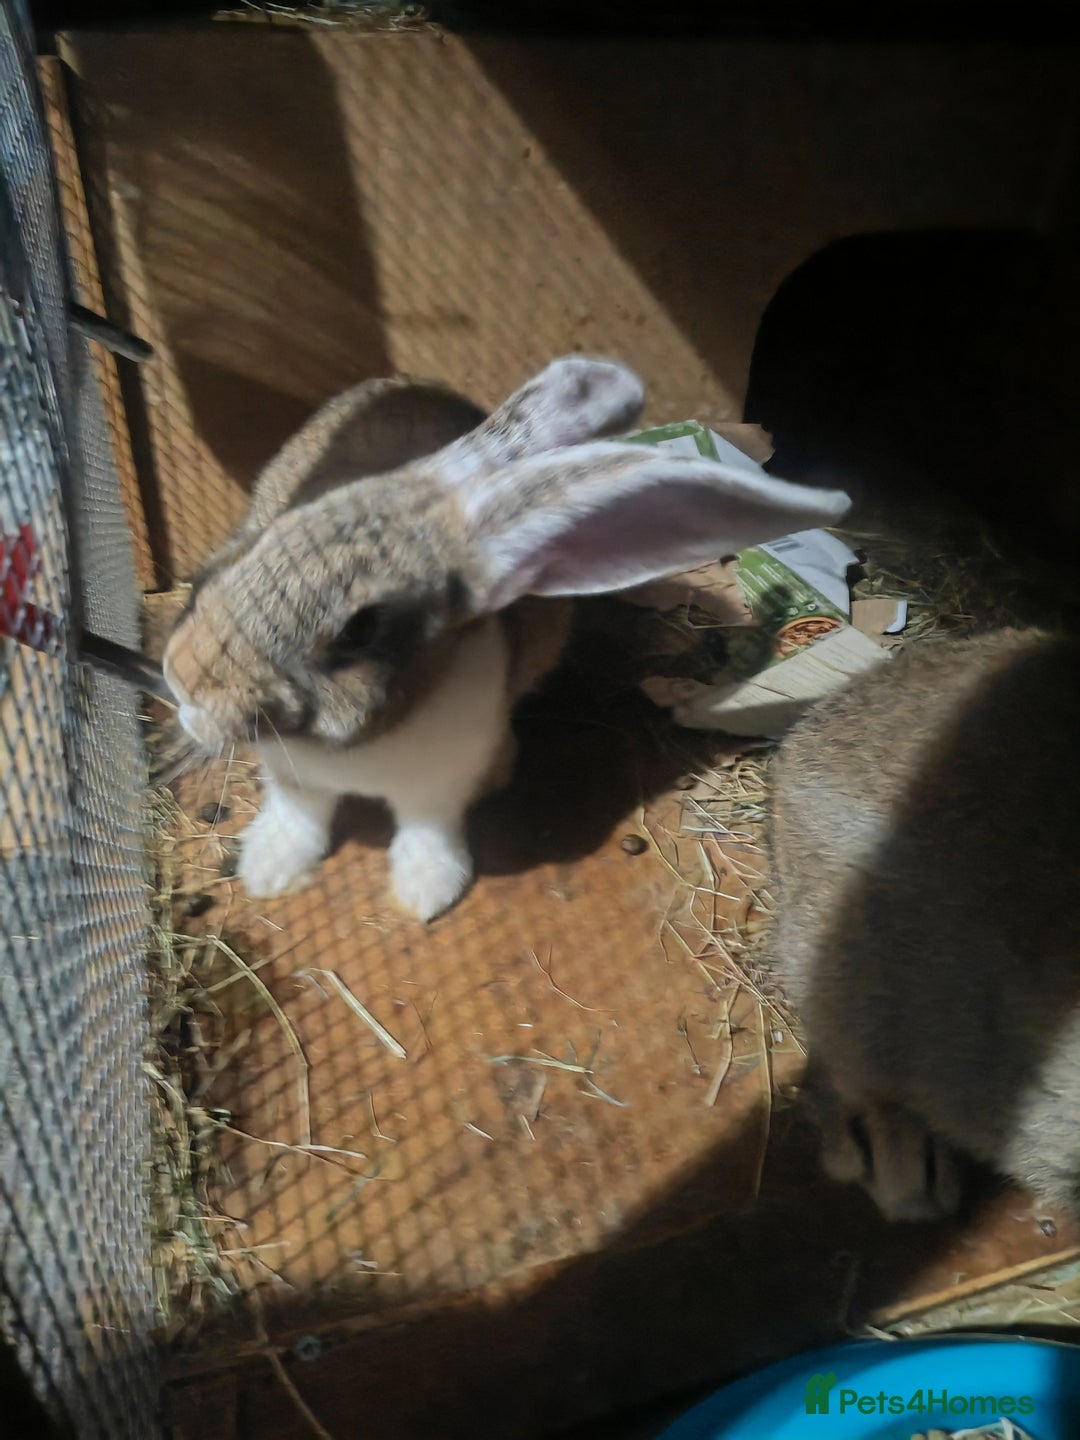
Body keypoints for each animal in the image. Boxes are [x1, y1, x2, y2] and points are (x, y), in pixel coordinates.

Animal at [163, 355, 851, 922]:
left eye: (361, 628)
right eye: (266, 535)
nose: (181, 677)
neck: (361, 745)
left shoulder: (436, 790)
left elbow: (427, 830)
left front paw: (426, 893)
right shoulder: (293, 780)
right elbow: (299, 816)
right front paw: (269, 871)